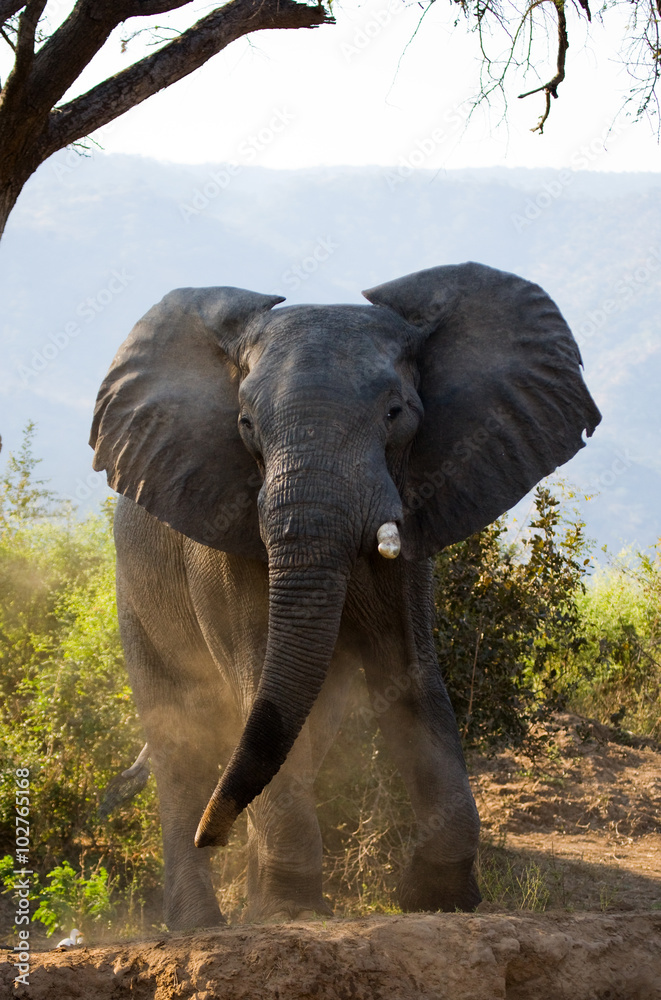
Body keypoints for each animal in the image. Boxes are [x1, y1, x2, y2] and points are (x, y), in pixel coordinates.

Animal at [90, 261, 600, 930]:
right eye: (245, 426)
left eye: (396, 412)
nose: (212, 833)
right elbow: (254, 675)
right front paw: (291, 913)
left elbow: (411, 672)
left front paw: (438, 901)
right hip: (134, 595)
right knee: (182, 737)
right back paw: (204, 922)